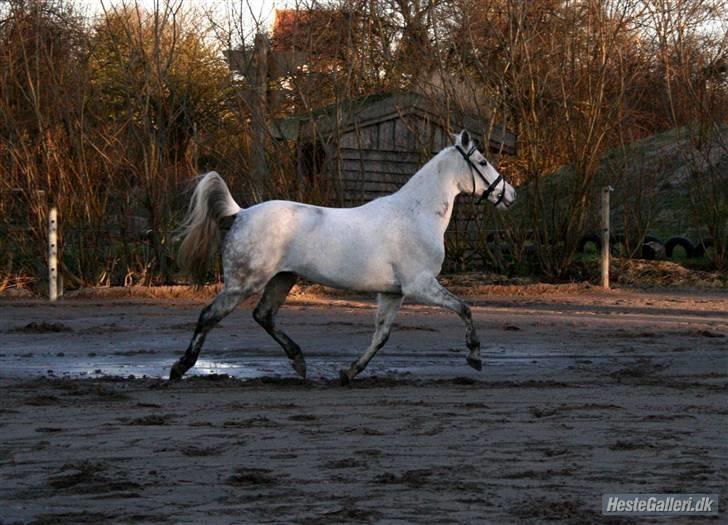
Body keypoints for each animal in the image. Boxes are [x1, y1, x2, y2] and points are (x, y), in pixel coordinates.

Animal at [171, 130, 516, 384]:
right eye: (483, 161)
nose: (510, 195)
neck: (416, 215)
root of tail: (241, 213)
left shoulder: (393, 293)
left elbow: (381, 335)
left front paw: (348, 372)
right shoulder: (420, 285)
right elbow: (464, 309)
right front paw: (474, 357)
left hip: (283, 278)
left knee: (264, 315)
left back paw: (299, 362)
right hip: (243, 283)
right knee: (209, 315)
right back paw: (180, 368)